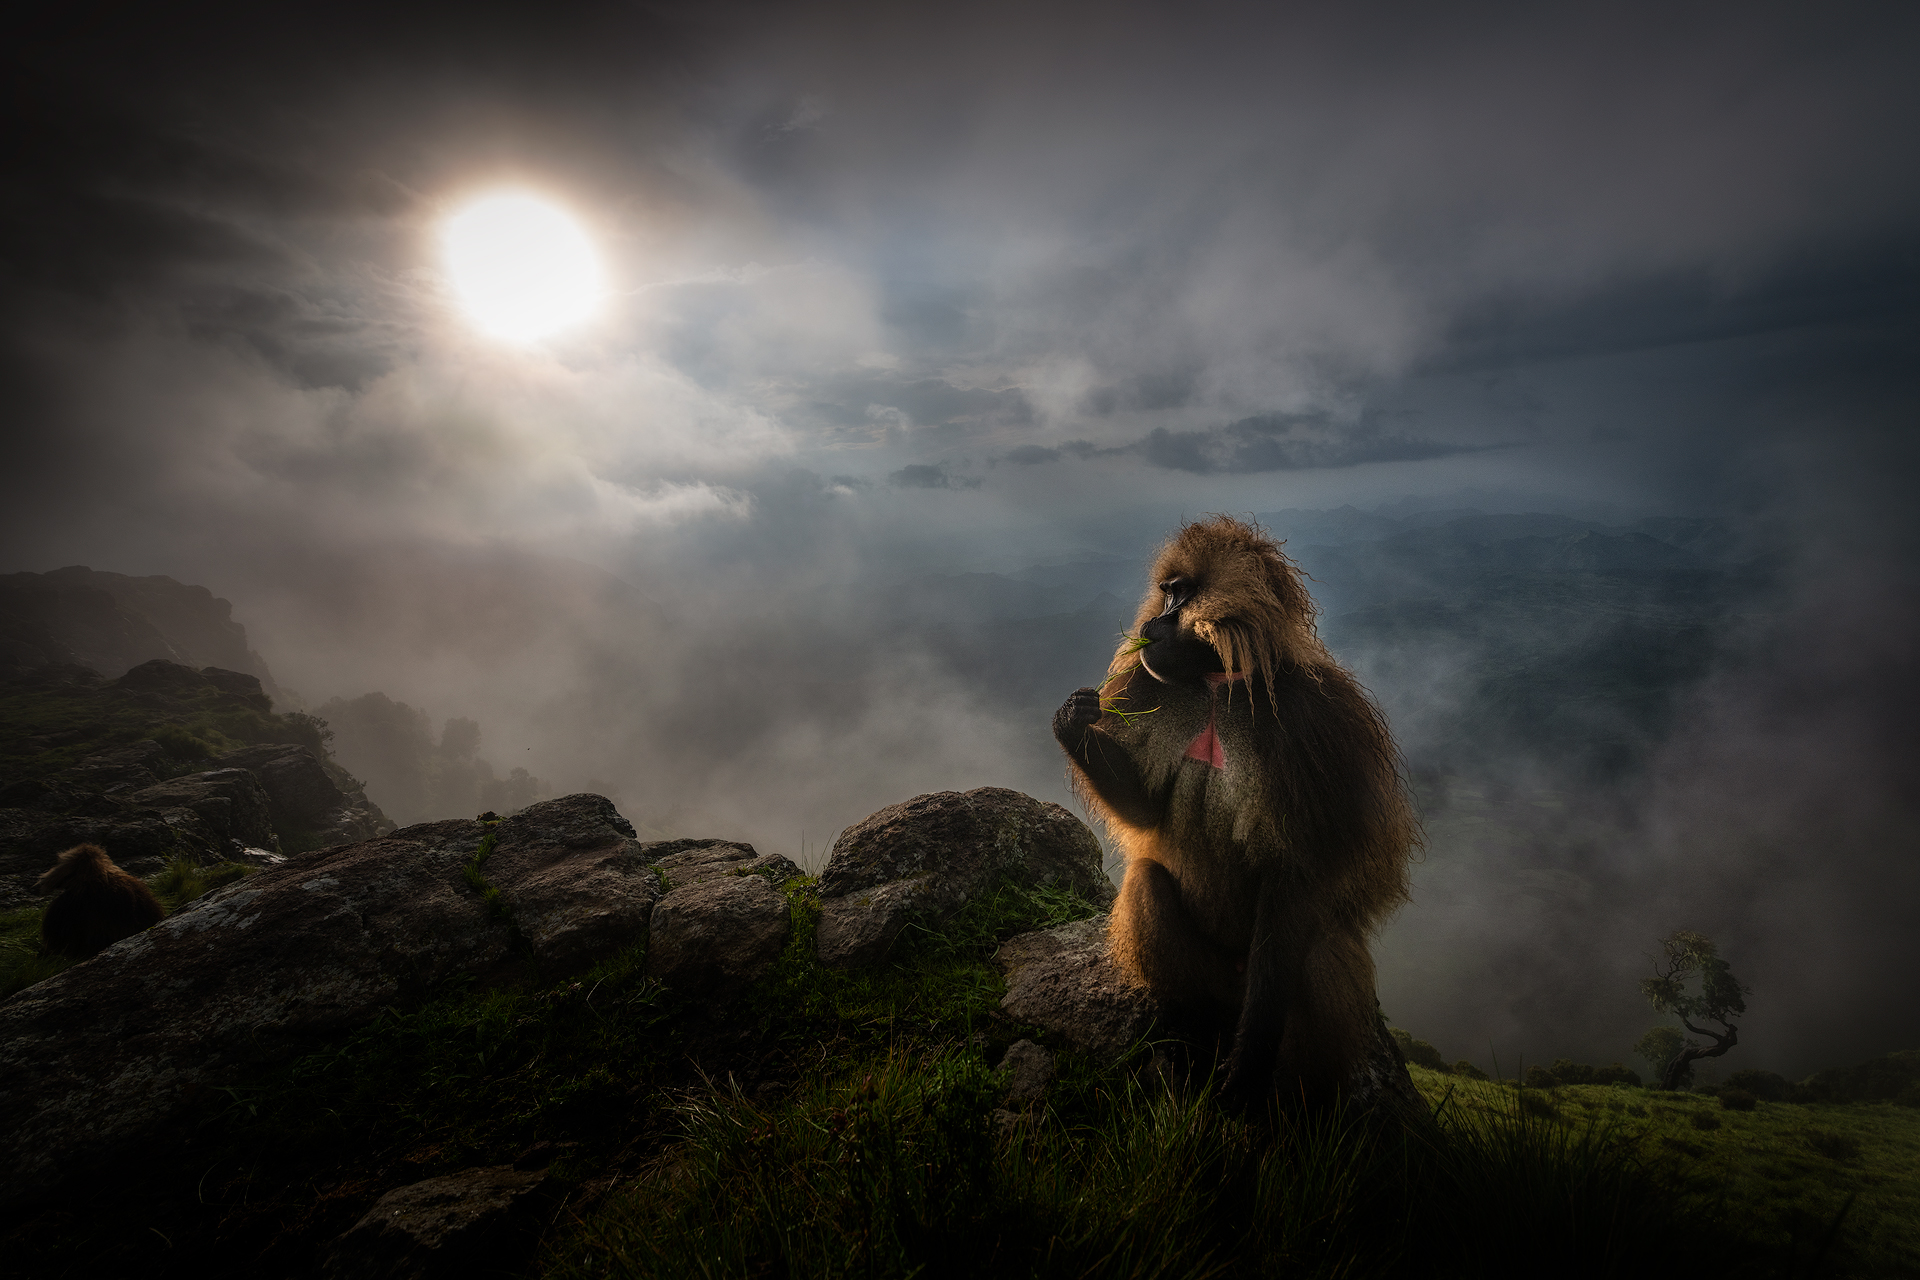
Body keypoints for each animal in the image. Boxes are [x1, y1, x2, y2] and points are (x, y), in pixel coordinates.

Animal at [1053, 515, 1419, 1109]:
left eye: (1181, 596)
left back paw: (1299, 1100)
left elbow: (1295, 870)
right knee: (1149, 886)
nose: (1152, 622)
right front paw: (1073, 719)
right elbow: (1146, 808)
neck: (1219, 682)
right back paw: (1190, 1042)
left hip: (1261, 976)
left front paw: (1246, 1071)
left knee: (1316, 949)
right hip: (1217, 983)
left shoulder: (1316, 724)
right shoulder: (1151, 686)